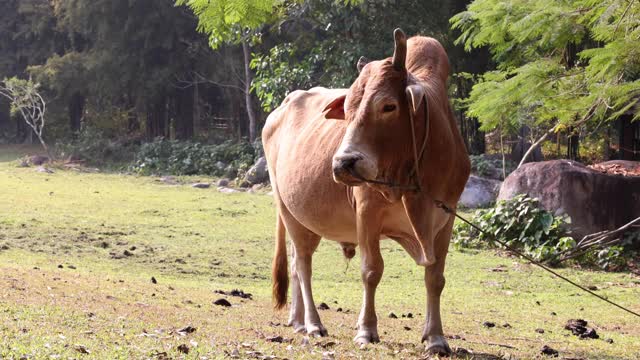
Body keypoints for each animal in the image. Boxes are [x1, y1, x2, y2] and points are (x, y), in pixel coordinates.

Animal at [262, 28, 470, 354]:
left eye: (388, 106)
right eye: (347, 109)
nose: (343, 163)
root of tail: (281, 108)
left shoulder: (446, 215)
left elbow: (435, 277)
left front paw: (436, 337)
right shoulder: (367, 212)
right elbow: (371, 271)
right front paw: (366, 331)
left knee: (295, 264)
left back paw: (297, 320)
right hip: (287, 209)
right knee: (304, 265)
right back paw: (313, 323)